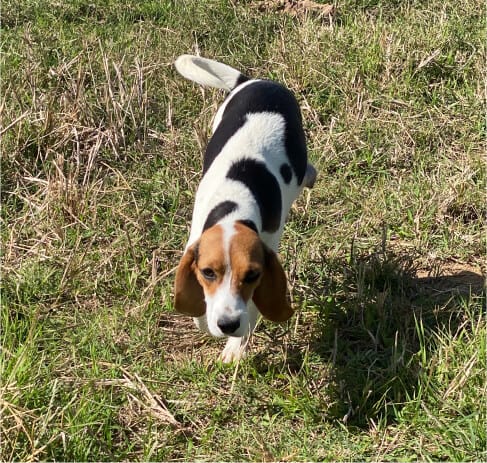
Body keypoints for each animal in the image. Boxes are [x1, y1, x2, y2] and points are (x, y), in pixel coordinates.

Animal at [173, 55, 316, 362]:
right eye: (208, 273)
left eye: (252, 275)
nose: (227, 325)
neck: (233, 207)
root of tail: (260, 81)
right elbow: (200, 313)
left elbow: (250, 311)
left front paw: (235, 348)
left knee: (306, 170)